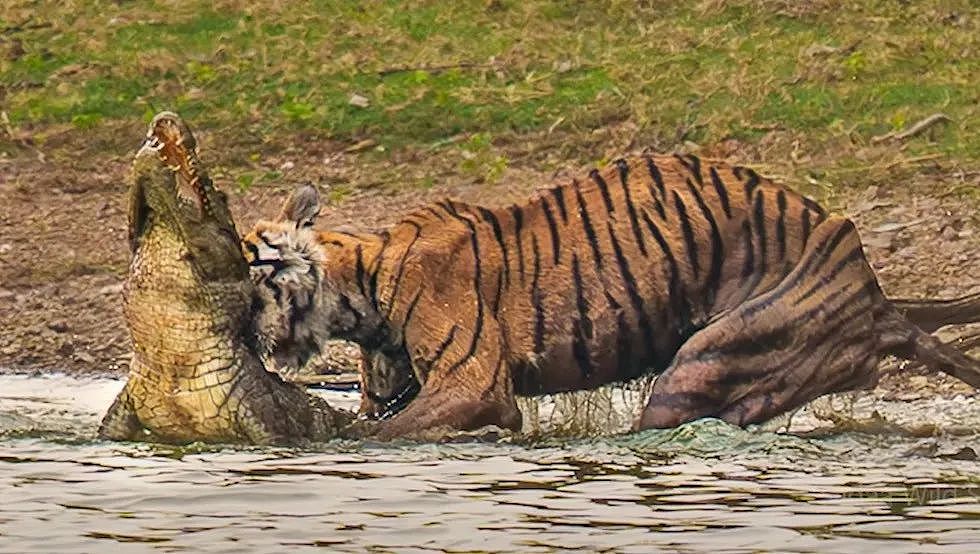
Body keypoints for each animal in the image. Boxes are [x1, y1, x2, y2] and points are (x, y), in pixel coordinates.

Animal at [243, 154, 980, 439]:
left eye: (252, 283)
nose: (244, 335)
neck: (356, 293)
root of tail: (877, 297)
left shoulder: (472, 384)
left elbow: (378, 434)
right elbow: (376, 421)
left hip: (703, 365)